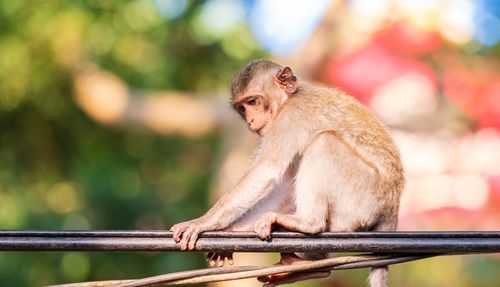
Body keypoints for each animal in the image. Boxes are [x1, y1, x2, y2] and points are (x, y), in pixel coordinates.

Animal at [170, 59, 404, 287]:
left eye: (252, 102)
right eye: (242, 109)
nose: (250, 121)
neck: (288, 99)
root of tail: (391, 206)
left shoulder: (291, 116)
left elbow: (267, 169)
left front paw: (203, 222)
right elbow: (284, 186)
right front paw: (231, 232)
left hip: (362, 199)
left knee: (324, 142)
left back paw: (308, 223)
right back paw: (308, 268)